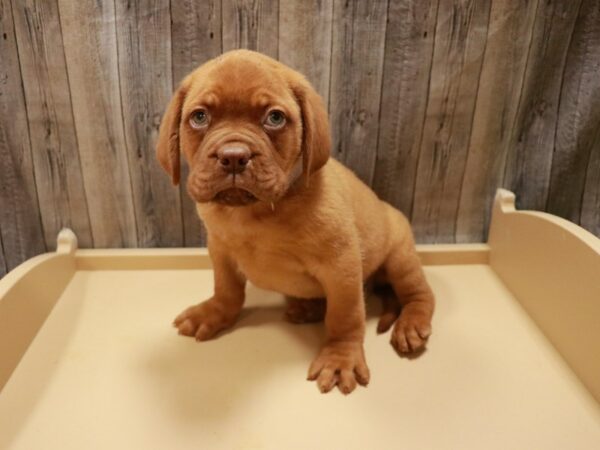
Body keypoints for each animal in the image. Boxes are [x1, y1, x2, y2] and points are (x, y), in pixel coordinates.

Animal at [157, 48, 434, 394]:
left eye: (274, 118)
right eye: (199, 117)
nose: (233, 156)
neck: (254, 213)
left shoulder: (342, 267)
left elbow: (345, 317)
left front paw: (340, 357)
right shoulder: (220, 252)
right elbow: (227, 290)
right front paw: (214, 312)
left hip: (400, 256)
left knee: (419, 293)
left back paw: (411, 323)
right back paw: (308, 307)